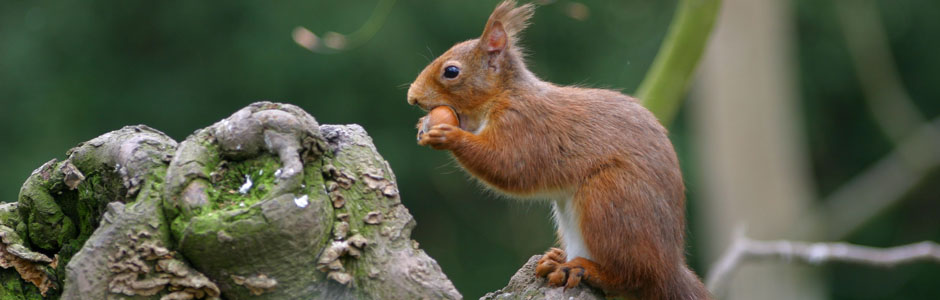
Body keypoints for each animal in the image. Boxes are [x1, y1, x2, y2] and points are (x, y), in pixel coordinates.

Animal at [408, 1, 708, 298]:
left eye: (451, 72)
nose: (412, 97)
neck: (504, 94)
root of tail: (670, 268)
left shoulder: (526, 125)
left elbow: (509, 165)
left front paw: (448, 135)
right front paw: (424, 125)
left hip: (610, 199)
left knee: (633, 277)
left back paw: (582, 269)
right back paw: (559, 259)